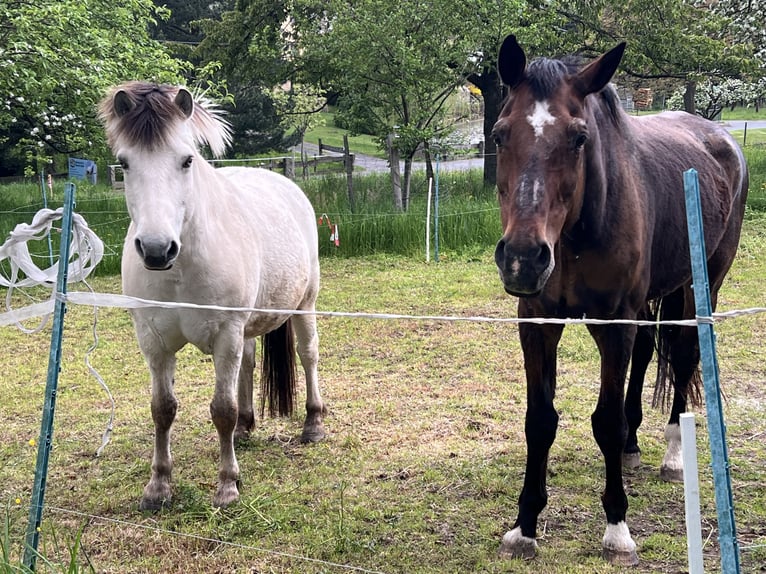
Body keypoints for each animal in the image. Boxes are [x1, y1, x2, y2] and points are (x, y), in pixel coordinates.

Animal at [98, 81, 326, 510]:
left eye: (186, 160)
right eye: (124, 163)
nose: (157, 250)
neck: (181, 269)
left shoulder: (225, 334)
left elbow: (222, 409)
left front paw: (227, 485)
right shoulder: (153, 341)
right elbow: (162, 409)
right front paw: (158, 486)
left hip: (304, 306)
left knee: (308, 356)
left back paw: (313, 423)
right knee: (249, 364)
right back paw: (246, 427)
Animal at [491, 36, 748, 565]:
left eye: (579, 138)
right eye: (500, 134)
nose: (523, 258)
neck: (575, 232)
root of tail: (720, 138)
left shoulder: (614, 324)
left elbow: (605, 421)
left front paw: (616, 530)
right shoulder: (537, 321)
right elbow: (539, 420)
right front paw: (525, 524)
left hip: (701, 284)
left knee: (684, 356)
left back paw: (672, 454)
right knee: (650, 352)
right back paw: (633, 447)